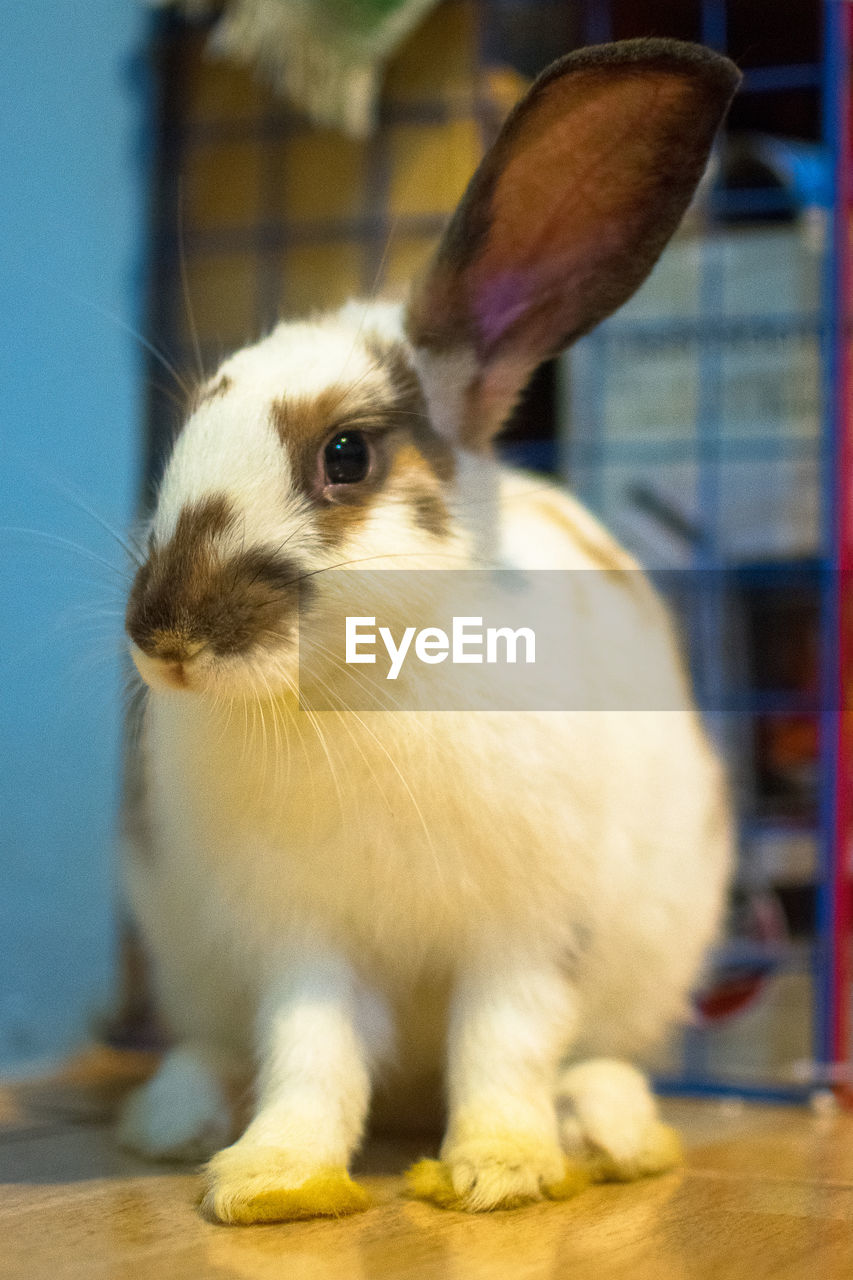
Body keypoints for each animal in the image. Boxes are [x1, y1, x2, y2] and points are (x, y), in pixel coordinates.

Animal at [117, 40, 737, 1218]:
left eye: (346, 455)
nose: (164, 636)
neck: (359, 692)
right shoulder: (303, 942)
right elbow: (308, 1056)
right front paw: (271, 1179)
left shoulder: (524, 936)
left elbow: (502, 1047)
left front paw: (500, 1168)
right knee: (217, 1045)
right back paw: (173, 1120)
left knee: (595, 1055)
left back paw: (610, 1130)